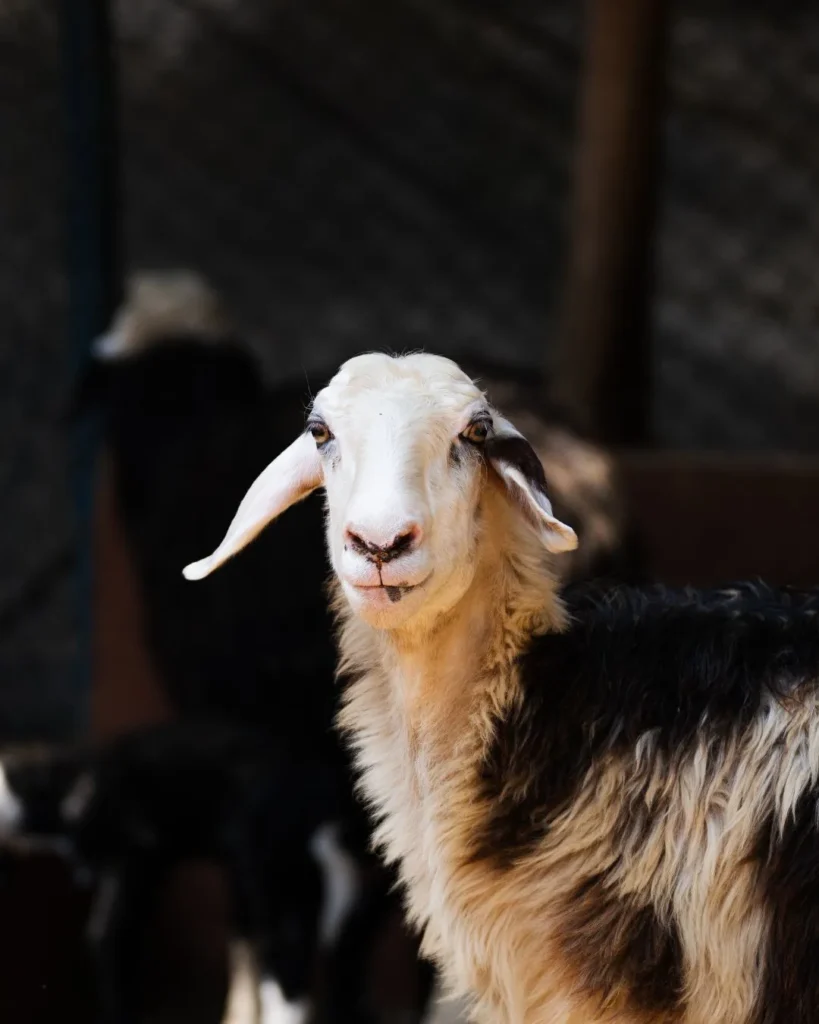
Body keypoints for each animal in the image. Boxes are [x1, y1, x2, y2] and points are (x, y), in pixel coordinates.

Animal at [0, 721, 356, 1024]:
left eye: (15, 784)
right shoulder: (143, 869)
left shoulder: (131, 861)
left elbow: (106, 937)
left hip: (269, 870)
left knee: (287, 955)